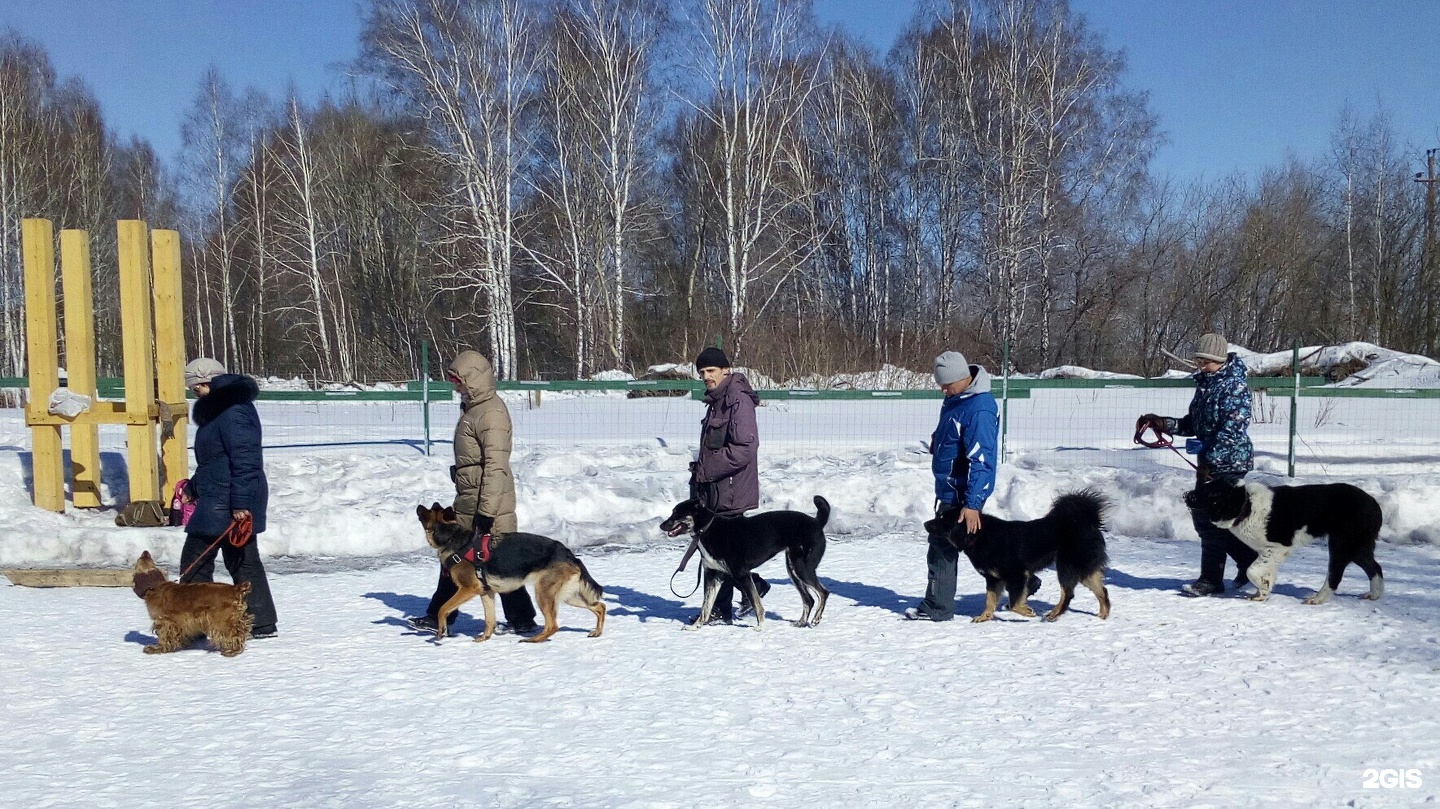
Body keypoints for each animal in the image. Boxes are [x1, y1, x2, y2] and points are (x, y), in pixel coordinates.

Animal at [414, 500, 604, 639]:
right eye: (434, 507)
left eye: (429, 511)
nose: (419, 505)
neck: (452, 537)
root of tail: (569, 554)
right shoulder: (486, 592)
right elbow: (489, 620)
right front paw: (484, 638)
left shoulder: (468, 589)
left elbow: (443, 608)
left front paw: (441, 631)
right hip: (567, 595)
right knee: (600, 606)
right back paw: (597, 632)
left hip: (544, 594)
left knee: (553, 626)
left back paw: (533, 640)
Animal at [656, 492, 829, 630]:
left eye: (677, 513)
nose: (661, 525)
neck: (708, 529)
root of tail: (816, 522)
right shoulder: (714, 576)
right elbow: (706, 606)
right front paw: (696, 626)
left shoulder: (742, 574)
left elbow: (756, 603)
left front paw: (760, 627)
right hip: (793, 570)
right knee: (809, 600)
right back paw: (801, 622)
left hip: (802, 567)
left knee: (823, 593)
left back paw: (816, 619)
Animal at [921, 489, 1111, 618]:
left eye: (942, 519)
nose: (925, 523)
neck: (978, 537)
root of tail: (1087, 522)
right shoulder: (994, 579)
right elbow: (990, 600)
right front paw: (984, 617)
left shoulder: (1016, 574)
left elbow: (1014, 602)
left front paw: (1026, 611)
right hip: (1084, 569)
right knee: (1102, 590)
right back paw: (1103, 614)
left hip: (1066, 566)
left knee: (1068, 593)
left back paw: (1054, 614)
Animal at [1180, 475, 1382, 601]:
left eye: (1205, 492)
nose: (1185, 494)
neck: (1244, 505)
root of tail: (1375, 505)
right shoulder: (1267, 552)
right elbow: (1264, 572)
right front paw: (1263, 593)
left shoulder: (1279, 547)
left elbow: (1251, 570)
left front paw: (1262, 588)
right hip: (1357, 549)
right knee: (1375, 568)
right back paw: (1374, 595)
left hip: (1342, 546)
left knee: (1334, 576)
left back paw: (1317, 599)